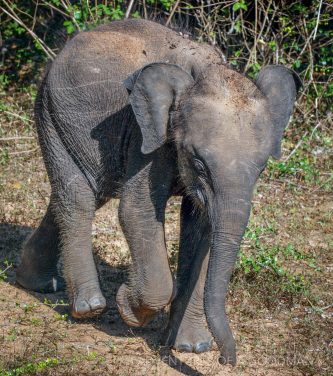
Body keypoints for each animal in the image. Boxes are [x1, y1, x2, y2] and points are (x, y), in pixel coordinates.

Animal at [16, 18, 300, 364]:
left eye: (261, 168)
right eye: (198, 162)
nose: (225, 360)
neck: (203, 72)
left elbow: (204, 230)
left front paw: (191, 347)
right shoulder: (147, 136)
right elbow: (136, 211)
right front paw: (128, 307)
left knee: (88, 193)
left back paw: (35, 283)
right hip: (51, 113)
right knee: (79, 197)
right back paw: (89, 308)